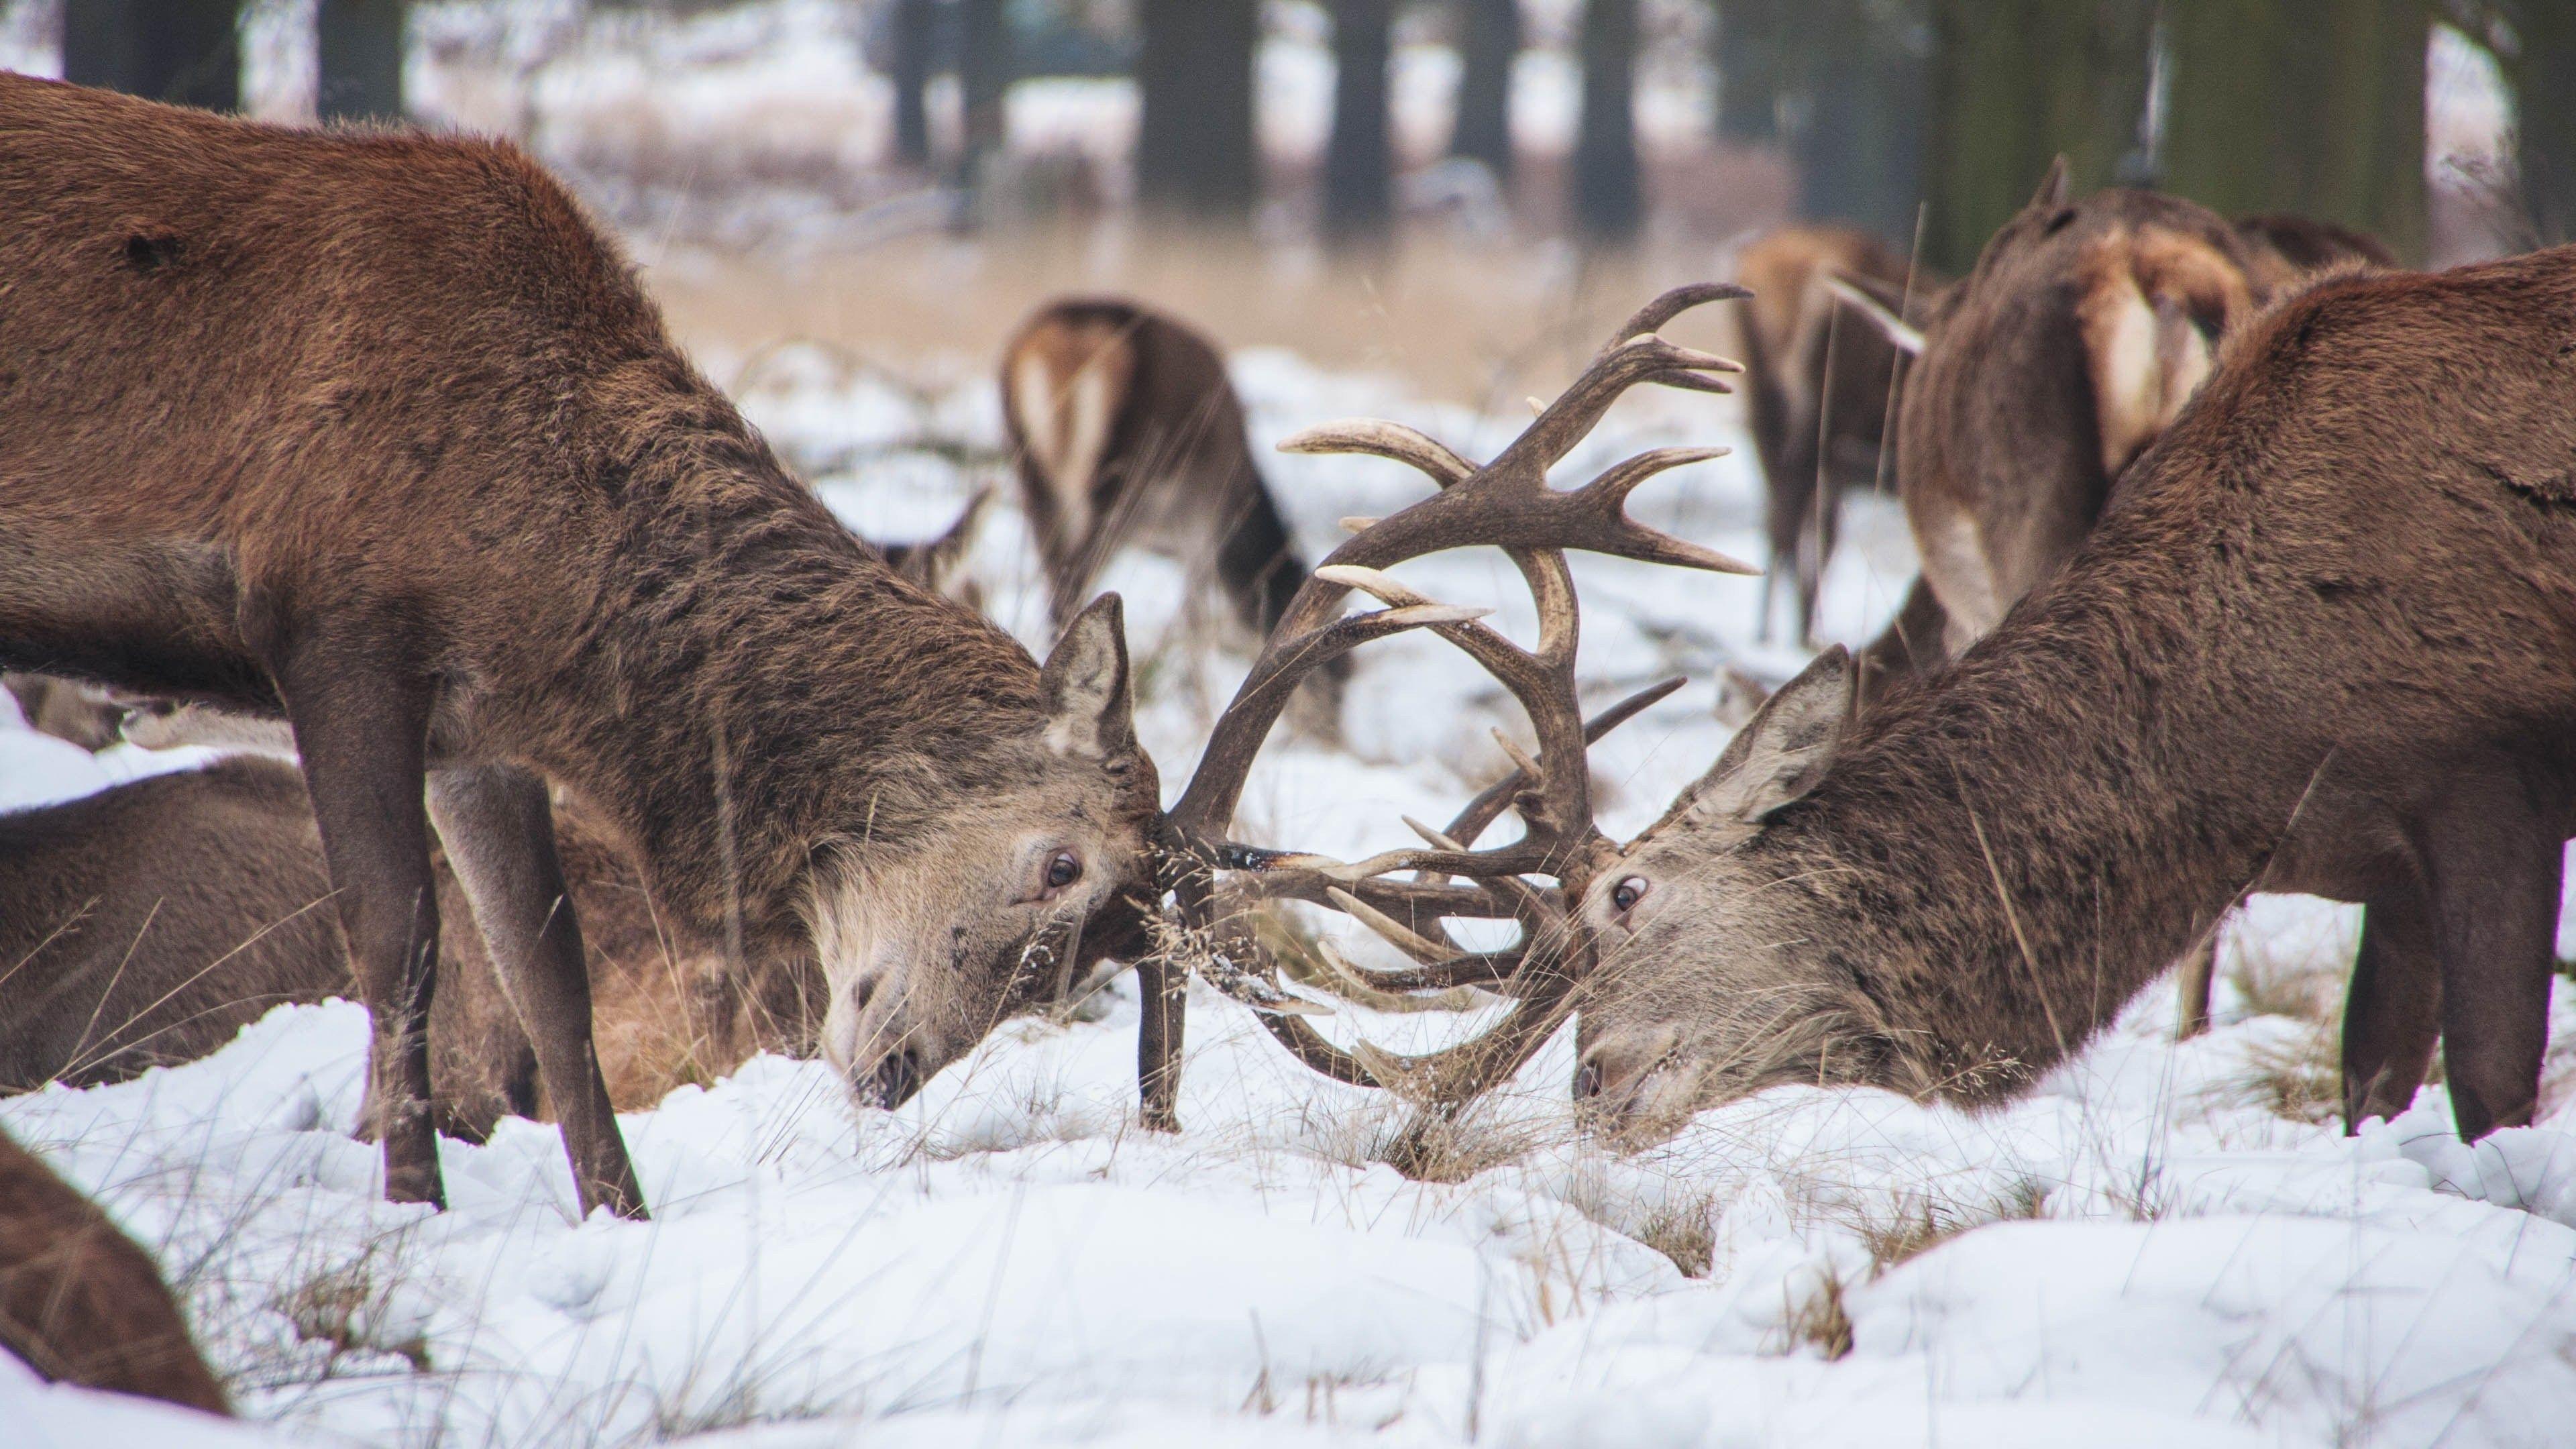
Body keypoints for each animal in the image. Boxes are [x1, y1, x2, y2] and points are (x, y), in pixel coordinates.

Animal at [0, 74, 1162, 1220]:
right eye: (1062, 865)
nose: (895, 1071)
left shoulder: (477, 725)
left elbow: (547, 975)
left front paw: (620, 1212)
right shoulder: (336, 629)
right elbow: (396, 942)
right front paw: (414, 1209)